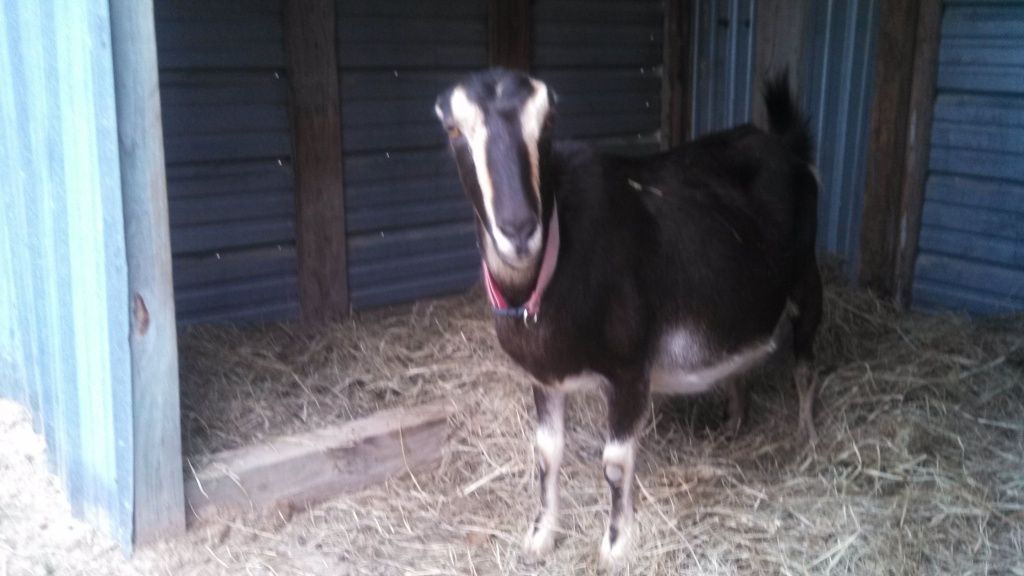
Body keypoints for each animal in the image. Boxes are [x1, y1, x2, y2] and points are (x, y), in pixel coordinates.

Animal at [435, 69, 823, 565]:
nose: (519, 229)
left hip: (807, 278)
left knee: (805, 366)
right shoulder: (544, 376)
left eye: (548, 122)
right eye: (452, 129)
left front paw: (616, 545)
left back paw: (807, 439)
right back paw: (734, 424)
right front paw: (541, 535)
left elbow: (616, 464)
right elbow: (546, 453)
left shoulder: (629, 370)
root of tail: (785, 147)